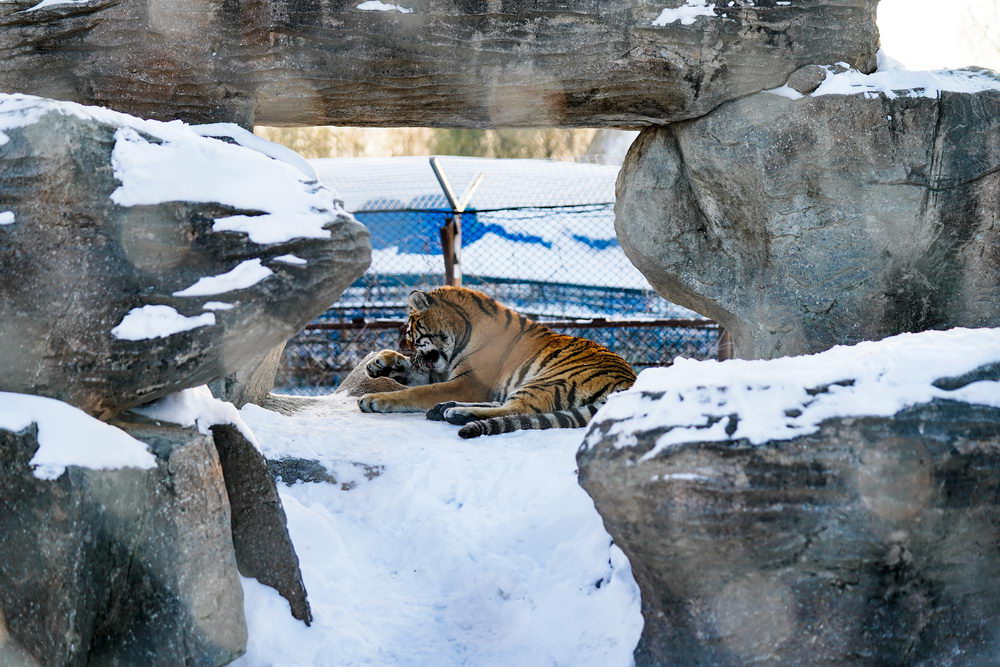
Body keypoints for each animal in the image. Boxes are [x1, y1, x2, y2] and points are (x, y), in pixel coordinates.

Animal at [360, 286, 636, 438]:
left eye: (410, 333)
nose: (406, 346)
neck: (462, 332)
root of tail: (629, 384)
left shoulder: (468, 382)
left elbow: (417, 391)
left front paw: (375, 399)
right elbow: (417, 377)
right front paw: (380, 363)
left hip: (550, 378)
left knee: (518, 409)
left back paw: (455, 412)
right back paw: (445, 408)